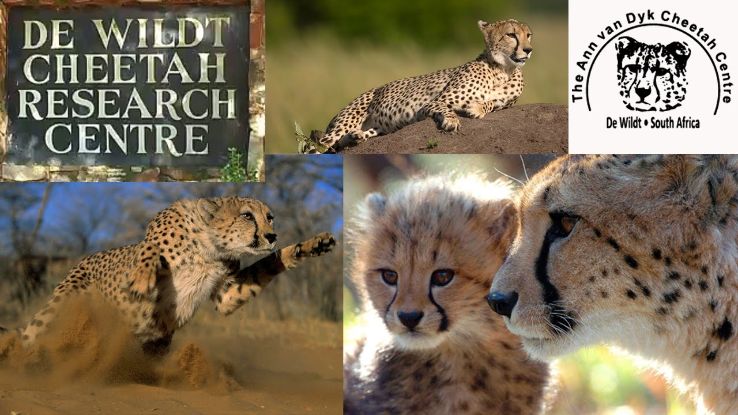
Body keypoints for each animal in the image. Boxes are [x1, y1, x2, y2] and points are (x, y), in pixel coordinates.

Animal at [14, 196, 336, 355]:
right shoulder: (145, 249)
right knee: (32, 333)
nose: (271, 235)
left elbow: (269, 263)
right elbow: (149, 251)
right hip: (62, 304)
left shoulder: (226, 293)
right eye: (247, 215)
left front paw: (310, 246)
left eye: (270, 217)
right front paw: (142, 278)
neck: (209, 246)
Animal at [307, 19, 533, 153]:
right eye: (511, 35)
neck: (502, 70)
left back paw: (355, 138)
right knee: (318, 146)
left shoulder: (506, 103)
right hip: (343, 124)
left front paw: (477, 107)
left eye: (528, 35)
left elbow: (492, 103)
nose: (528, 50)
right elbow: (447, 108)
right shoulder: (435, 103)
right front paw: (452, 121)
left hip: (379, 128)